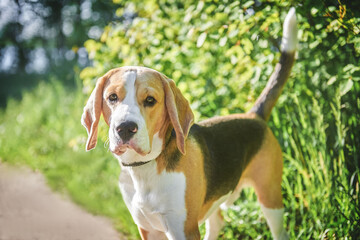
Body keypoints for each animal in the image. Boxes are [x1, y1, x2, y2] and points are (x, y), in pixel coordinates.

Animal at [82, 7, 298, 240]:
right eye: (112, 97)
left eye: (150, 100)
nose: (124, 128)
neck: (145, 168)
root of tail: (254, 116)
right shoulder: (147, 229)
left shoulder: (182, 228)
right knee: (218, 222)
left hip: (270, 197)